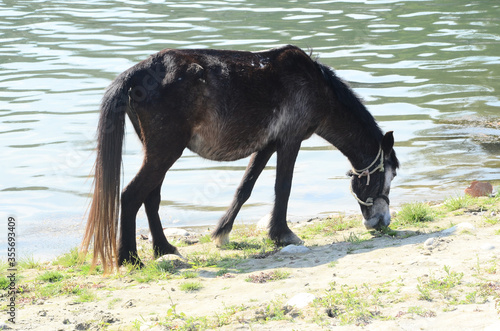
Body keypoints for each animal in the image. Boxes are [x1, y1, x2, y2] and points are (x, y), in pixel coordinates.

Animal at [81, 44, 398, 272]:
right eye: (390, 175)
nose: (382, 221)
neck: (314, 83)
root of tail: (139, 71)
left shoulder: (267, 144)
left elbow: (245, 188)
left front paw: (222, 232)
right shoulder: (290, 141)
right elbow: (283, 188)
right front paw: (282, 235)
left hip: (159, 153)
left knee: (151, 197)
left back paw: (163, 248)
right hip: (164, 152)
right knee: (131, 196)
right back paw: (130, 258)